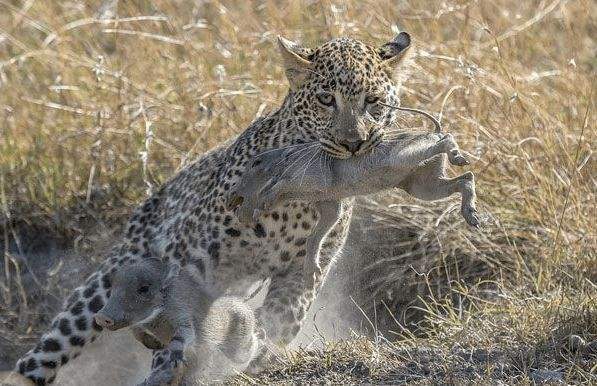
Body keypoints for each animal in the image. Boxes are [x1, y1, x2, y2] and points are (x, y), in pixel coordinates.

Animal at [15, 30, 414, 382]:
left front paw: (254, 351)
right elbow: (176, 314)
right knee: (50, 348)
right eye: (326, 100)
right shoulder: (192, 261)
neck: (296, 200)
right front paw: (171, 364)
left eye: (373, 101)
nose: (353, 143)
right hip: (105, 283)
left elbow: (278, 319)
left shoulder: (303, 272)